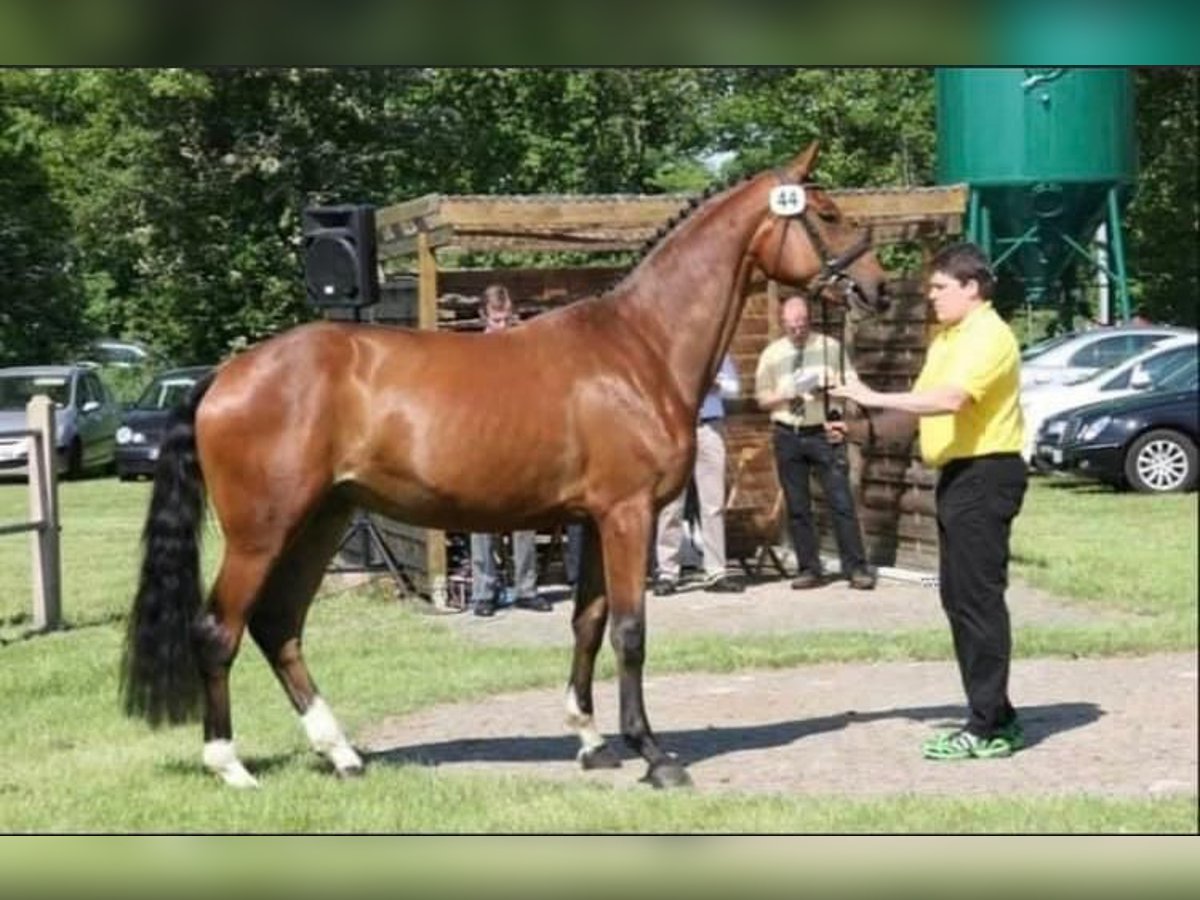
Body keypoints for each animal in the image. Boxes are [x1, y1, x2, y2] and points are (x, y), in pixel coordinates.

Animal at [121, 141, 892, 787]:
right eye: (827, 212)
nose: (878, 288)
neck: (639, 346)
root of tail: (223, 375)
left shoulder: (593, 519)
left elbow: (587, 623)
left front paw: (591, 741)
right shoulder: (628, 515)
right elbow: (631, 631)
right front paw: (653, 754)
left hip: (322, 520)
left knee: (278, 626)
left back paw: (342, 754)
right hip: (263, 530)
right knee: (219, 630)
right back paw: (230, 766)